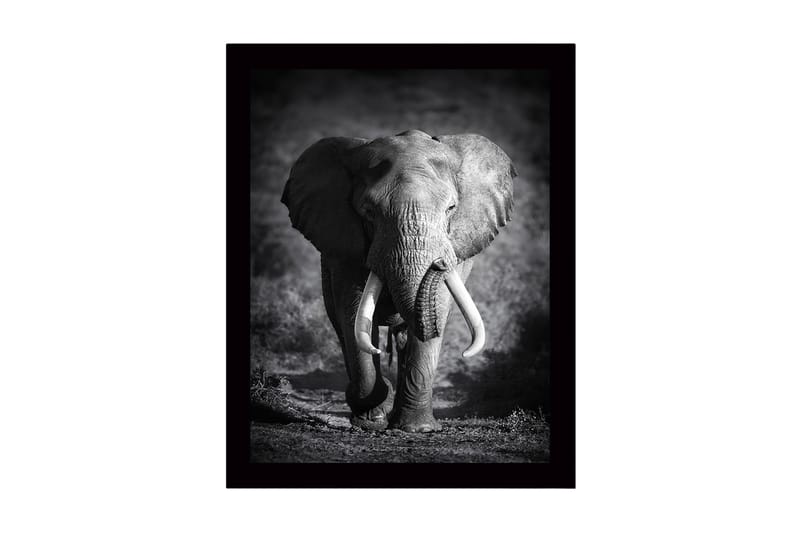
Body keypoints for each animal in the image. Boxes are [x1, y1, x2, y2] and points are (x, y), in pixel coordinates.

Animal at [281, 129, 515, 432]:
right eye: (368, 212)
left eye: (451, 208)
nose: (439, 263)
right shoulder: (344, 246)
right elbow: (353, 313)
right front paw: (371, 419)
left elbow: (438, 307)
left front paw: (418, 429)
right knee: (342, 325)